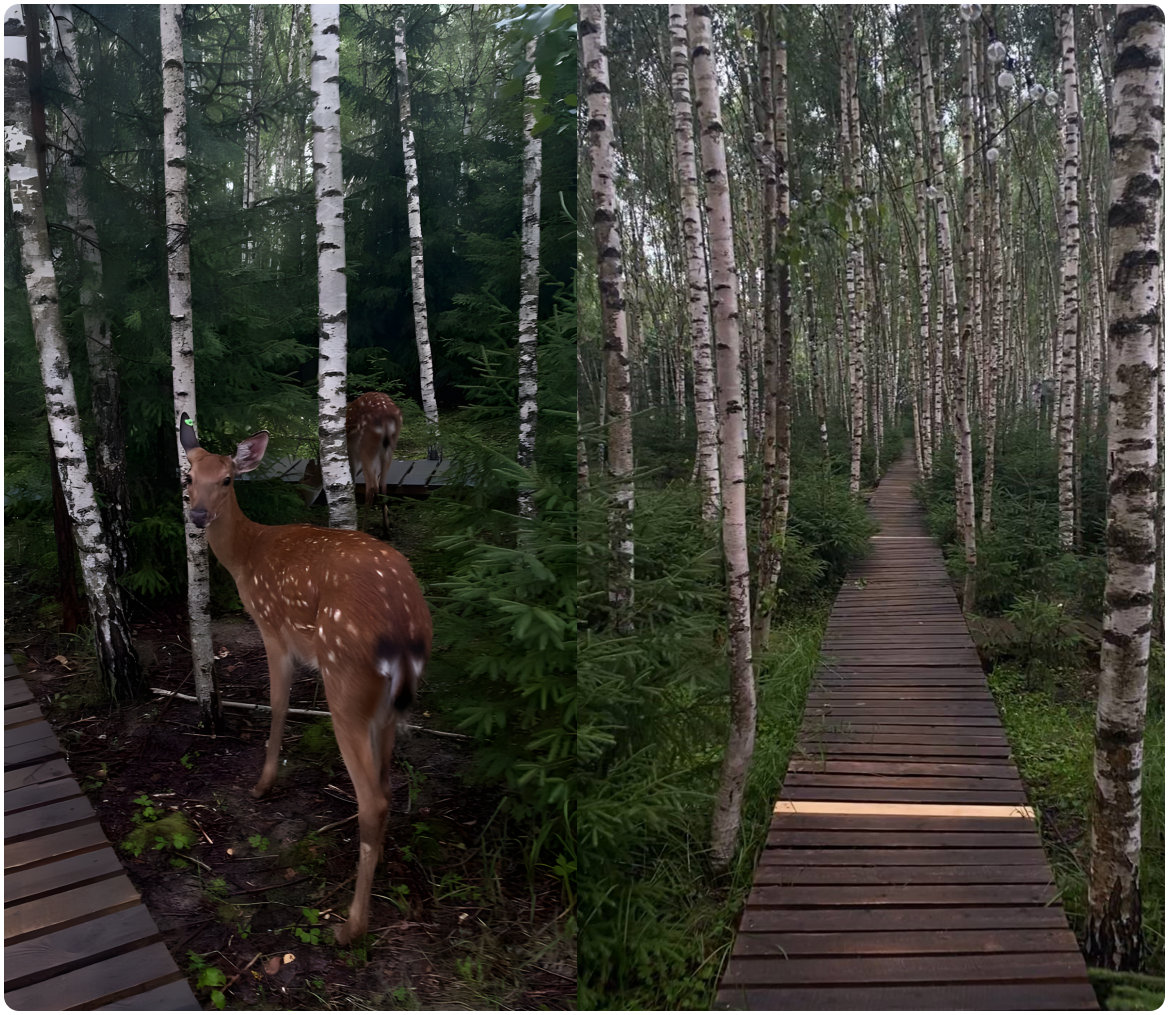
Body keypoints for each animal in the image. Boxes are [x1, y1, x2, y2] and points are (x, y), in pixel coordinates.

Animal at [179, 413, 431, 946]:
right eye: (190, 476)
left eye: (227, 479)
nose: (198, 516)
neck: (247, 554)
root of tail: (405, 627)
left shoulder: (273, 628)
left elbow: (277, 704)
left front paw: (263, 783)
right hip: (390, 702)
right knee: (386, 780)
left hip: (345, 680)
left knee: (374, 798)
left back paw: (351, 926)